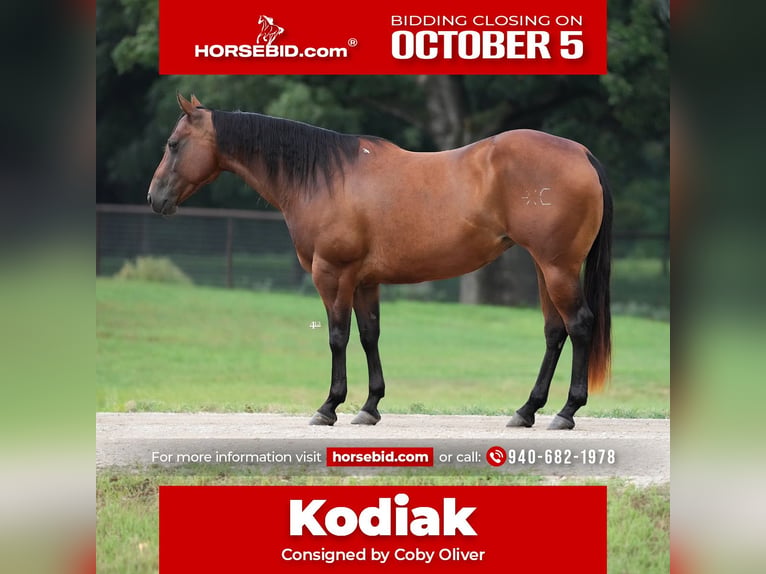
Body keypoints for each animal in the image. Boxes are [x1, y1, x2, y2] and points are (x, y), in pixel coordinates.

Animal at [148, 94, 612, 430]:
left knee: (579, 325)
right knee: (555, 332)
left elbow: (337, 337)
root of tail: (582, 154)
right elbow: (369, 335)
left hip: (558, 268)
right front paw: (369, 406)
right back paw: (527, 410)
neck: (325, 178)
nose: (155, 198)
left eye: (173, 144)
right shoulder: (364, 281)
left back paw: (566, 412)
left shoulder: (332, 275)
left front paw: (329, 406)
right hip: (545, 268)